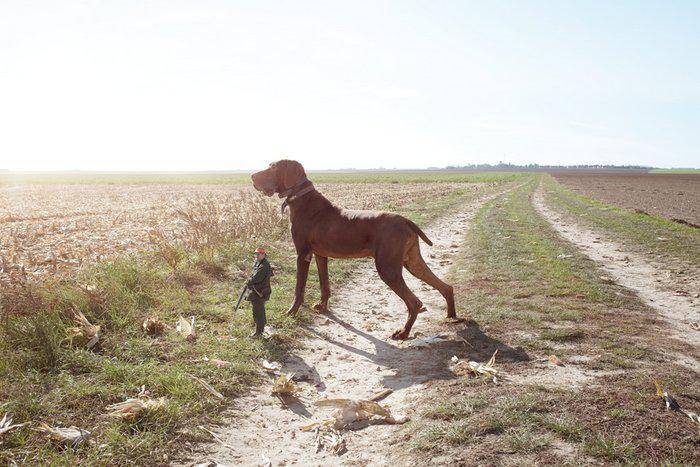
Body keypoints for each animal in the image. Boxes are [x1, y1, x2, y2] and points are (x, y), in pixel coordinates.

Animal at [252, 161, 460, 340]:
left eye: (273, 167)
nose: (252, 176)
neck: (303, 199)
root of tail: (406, 220)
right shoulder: (320, 255)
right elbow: (324, 284)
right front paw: (322, 306)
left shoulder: (303, 254)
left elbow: (299, 289)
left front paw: (291, 312)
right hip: (412, 262)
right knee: (445, 287)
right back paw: (451, 316)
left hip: (388, 268)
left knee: (415, 302)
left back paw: (403, 332)